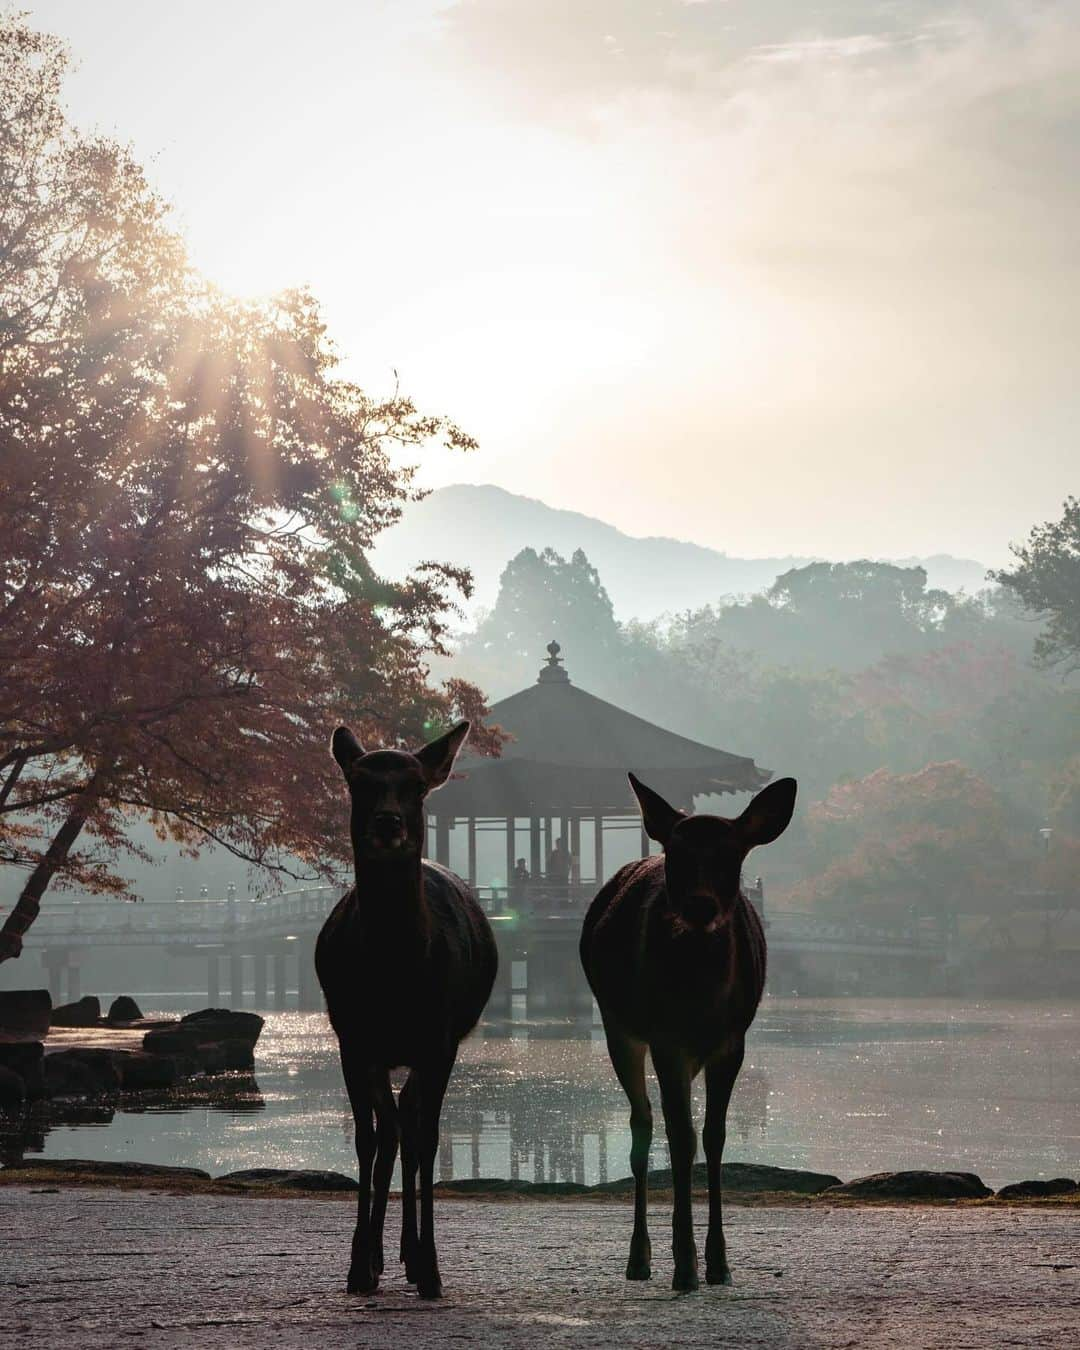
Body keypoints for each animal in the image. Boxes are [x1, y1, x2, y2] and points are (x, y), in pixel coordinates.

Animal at [311, 723, 496, 1301]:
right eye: (358, 781)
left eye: (415, 785)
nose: (388, 821)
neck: (394, 979)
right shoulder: (352, 1038)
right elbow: (367, 1140)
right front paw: (358, 1268)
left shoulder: (439, 1040)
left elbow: (429, 1140)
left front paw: (431, 1269)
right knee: (391, 1131)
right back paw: (379, 1258)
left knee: (410, 1130)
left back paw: (412, 1260)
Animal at [583, 772, 793, 1285]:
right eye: (676, 854)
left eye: (732, 855)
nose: (700, 907)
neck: (701, 1002)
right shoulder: (665, 1039)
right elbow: (681, 1136)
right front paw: (685, 1262)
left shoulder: (732, 1042)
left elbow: (714, 1136)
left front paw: (718, 1261)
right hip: (618, 1028)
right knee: (642, 1126)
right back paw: (639, 1257)